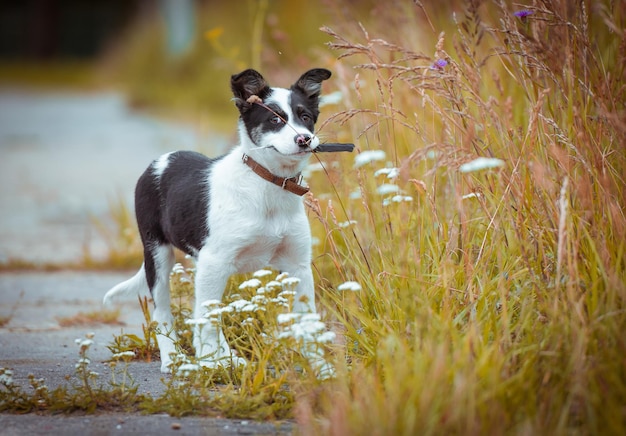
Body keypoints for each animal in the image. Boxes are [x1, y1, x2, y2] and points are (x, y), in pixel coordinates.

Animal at [102, 68, 332, 372]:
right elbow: (207, 318)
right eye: (275, 119)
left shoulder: (298, 266)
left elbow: (308, 320)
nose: (304, 139)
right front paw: (212, 363)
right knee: (164, 311)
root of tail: (160, 161)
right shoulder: (215, 260)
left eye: (305, 117)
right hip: (158, 254)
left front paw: (320, 367)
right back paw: (174, 359)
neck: (267, 184)